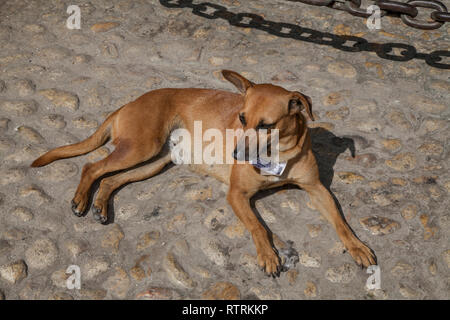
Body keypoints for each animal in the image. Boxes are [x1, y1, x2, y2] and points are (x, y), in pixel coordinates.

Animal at [31, 70, 376, 276]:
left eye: (266, 125)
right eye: (241, 118)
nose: (236, 154)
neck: (277, 154)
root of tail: (128, 103)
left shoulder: (317, 189)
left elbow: (341, 222)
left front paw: (357, 246)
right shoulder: (237, 195)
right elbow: (258, 227)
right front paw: (267, 254)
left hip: (154, 161)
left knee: (111, 178)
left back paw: (101, 205)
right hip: (141, 148)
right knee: (92, 166)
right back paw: (80, 200)